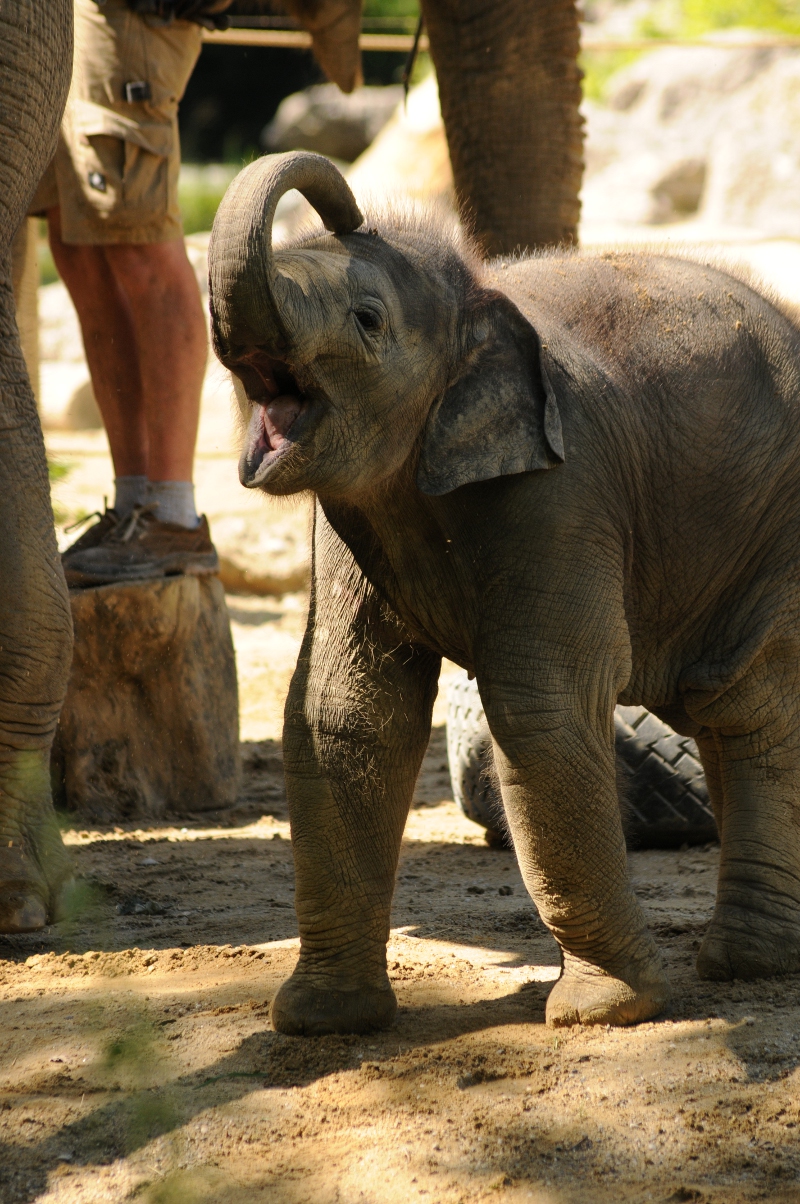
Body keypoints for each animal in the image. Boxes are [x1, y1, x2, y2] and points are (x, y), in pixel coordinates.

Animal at [209, 150, 800, 1033]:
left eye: (367, 319)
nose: (346, 200)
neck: (474, 302)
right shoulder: (345, 519)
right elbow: (341, 714)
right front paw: (321, 1021)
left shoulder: (565, 488)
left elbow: (540, 706)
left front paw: (602, 1015)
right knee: (722, 713)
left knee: (748, 702)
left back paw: (750, 963)